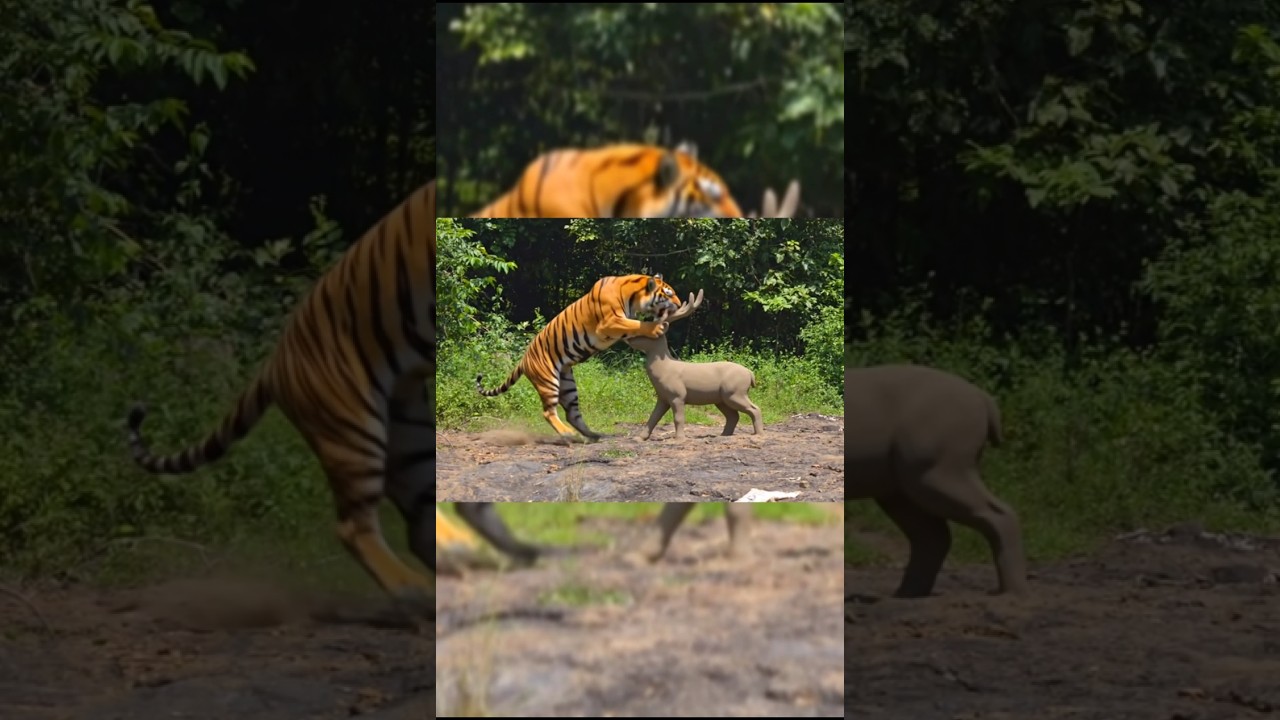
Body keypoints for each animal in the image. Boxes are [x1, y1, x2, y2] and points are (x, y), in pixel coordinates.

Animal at [125, 180, 442, 620]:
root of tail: (275, 360)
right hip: (353, 429)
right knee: (354, 527)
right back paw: (416, 592)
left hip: (410, 438)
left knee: (420, 524)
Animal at [476, 273, 682, 441]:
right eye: (669, 294)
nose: (680, 305)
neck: (632, 295)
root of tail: (523, 360)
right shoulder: (610, 322)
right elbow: (637, 325)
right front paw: (657, 328)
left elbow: (634, 328)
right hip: (548, 381)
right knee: (548, 413)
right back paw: (569, 434)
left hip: (567, 385)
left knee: (572, 414)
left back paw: (592, 435)